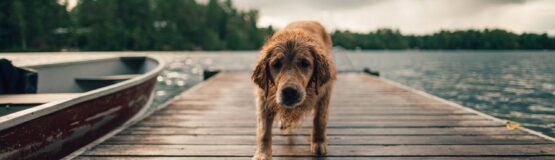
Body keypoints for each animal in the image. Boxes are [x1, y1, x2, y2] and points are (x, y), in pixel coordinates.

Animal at [253, 21, 338, 159]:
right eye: (276, 64)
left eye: (305, 63)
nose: (289, 91)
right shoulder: (264, 98)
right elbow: (264, 131)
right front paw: (262, 155)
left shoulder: (324, 93)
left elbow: (319, 120)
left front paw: (319, 142)